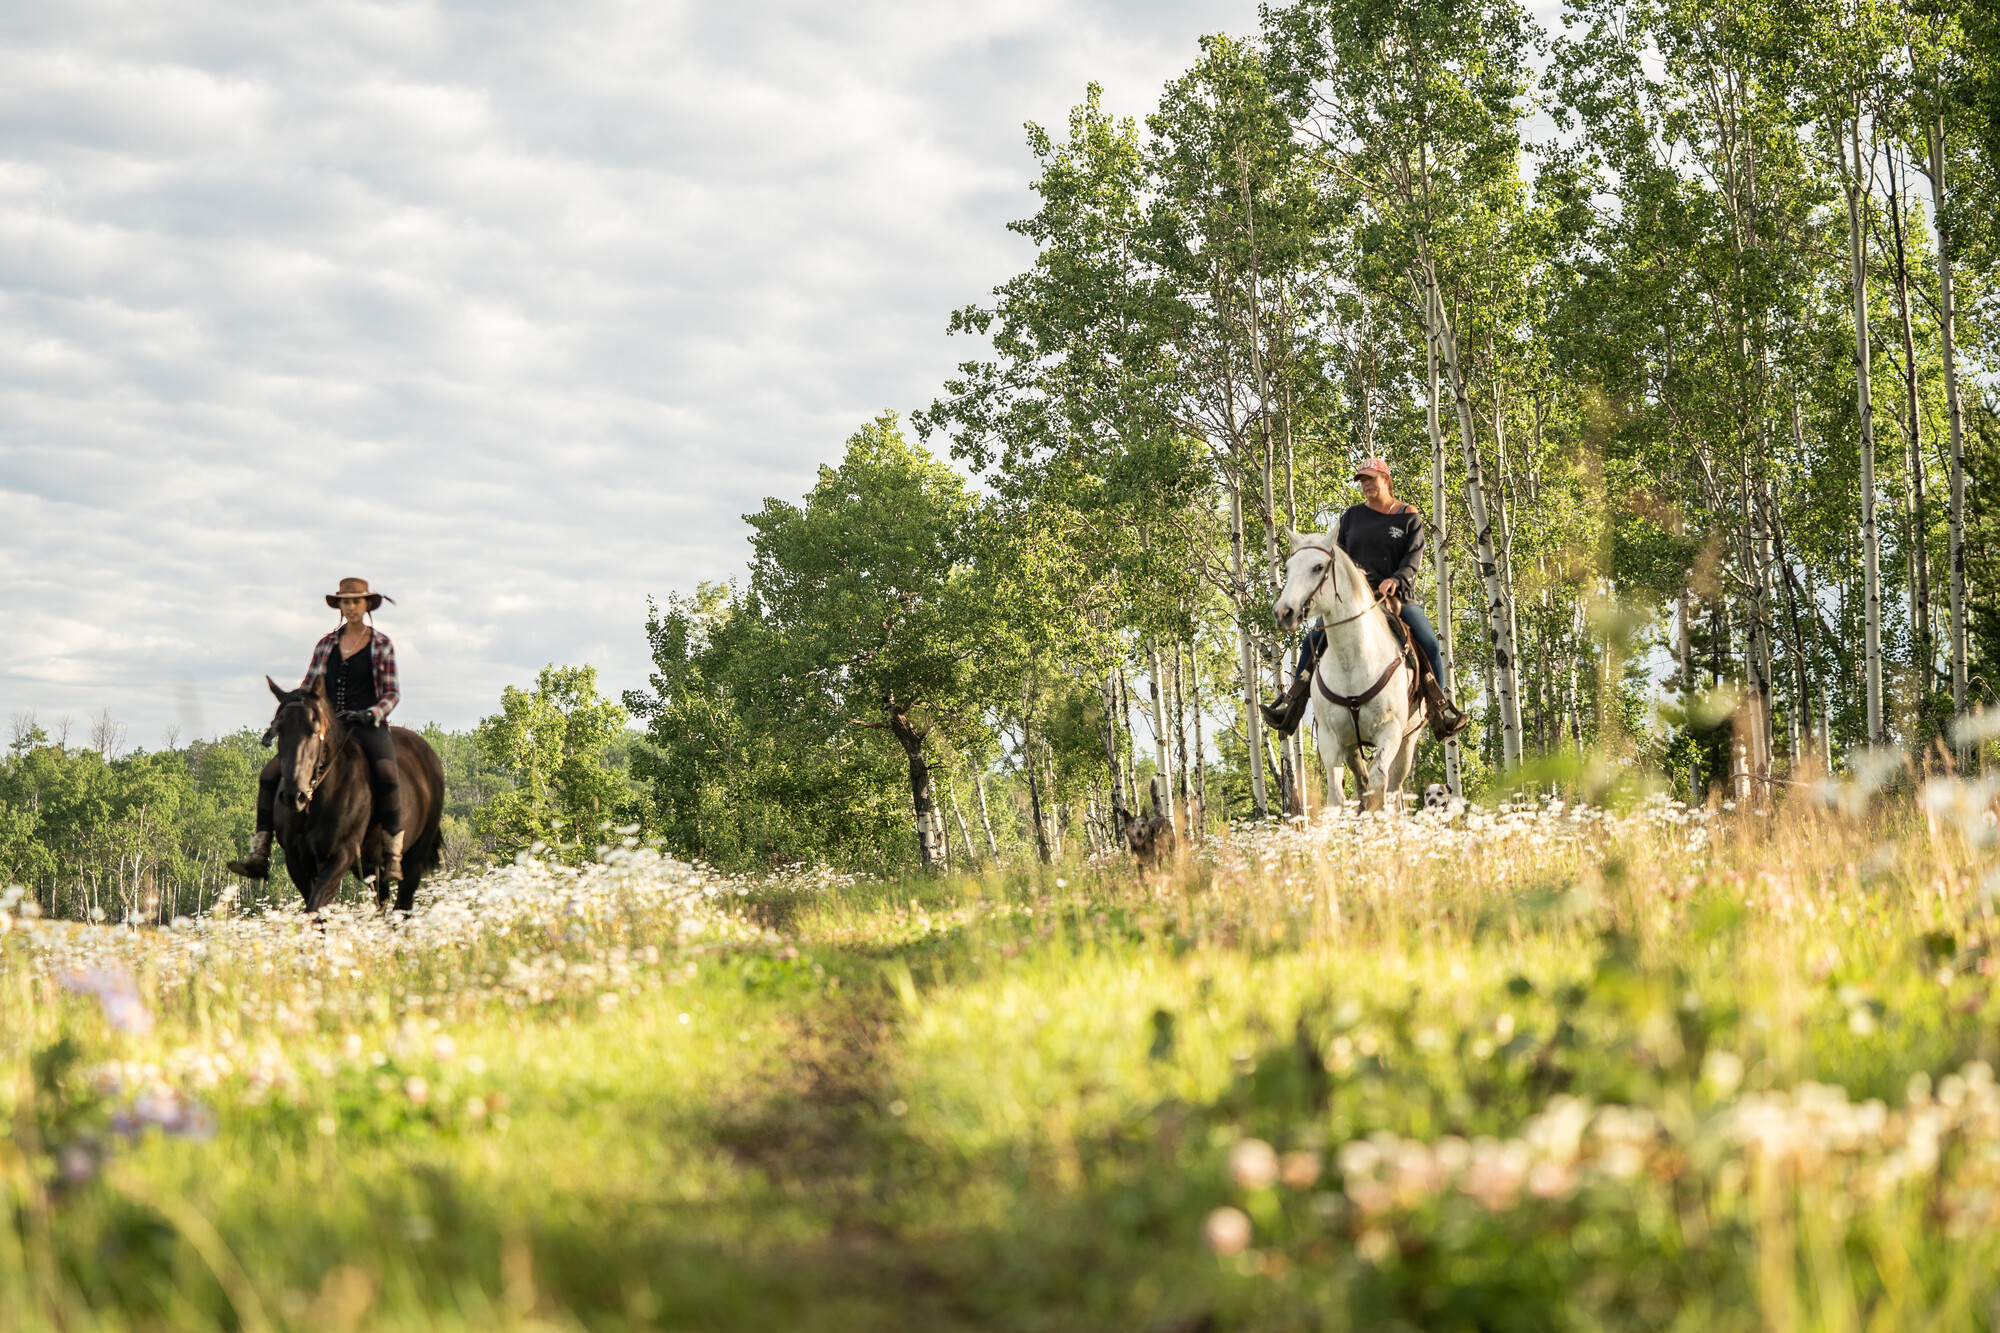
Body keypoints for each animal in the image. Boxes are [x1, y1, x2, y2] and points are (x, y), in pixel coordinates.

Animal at [262, 676, 446, 912]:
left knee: (402, 905)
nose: (295, 795)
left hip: (414, 858)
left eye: (314, 729)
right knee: (382, 898)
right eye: (279, 727)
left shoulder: (340, 856)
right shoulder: (296, 860)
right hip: (369, 867)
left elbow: (314, 908)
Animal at [1280, 528, 1424, 808]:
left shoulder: (1390, 733)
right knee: (1362, 783)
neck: (1353, 663)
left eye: (1318, 567)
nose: (1283, 612)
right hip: (1352, 748)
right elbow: (1337, 795)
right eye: (1288, 568)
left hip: (1408, 740)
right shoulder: (1331, 740)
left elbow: (1380, 786)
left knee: (1393, 788)